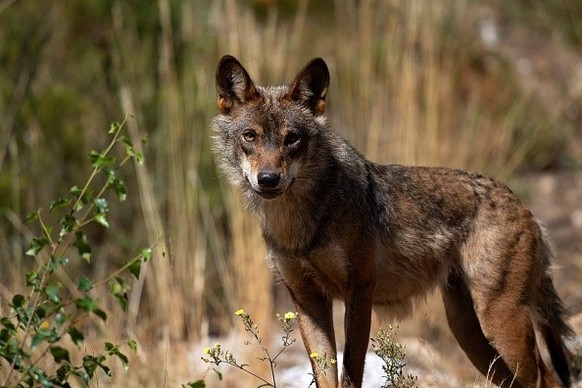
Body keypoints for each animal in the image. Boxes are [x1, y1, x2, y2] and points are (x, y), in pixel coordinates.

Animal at [211, 55, 576, 388]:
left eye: (293, 139)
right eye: (250, 136)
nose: (268, 179)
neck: (300, 226)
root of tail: (524, 206)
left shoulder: (360, 291)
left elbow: (351, 374)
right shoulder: (306, 300)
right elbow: (325, 376)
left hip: (499, 323)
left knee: (549, 379)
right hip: (470, 334)